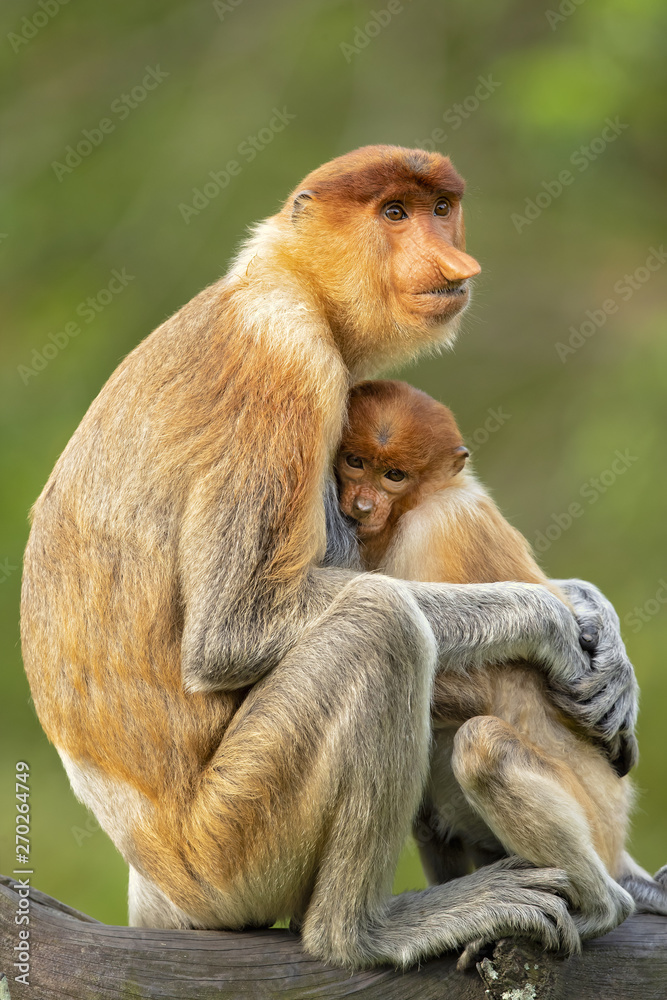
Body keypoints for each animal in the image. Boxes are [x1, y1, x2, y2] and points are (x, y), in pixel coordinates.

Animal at [337, 378, 667, 962]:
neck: (419, 503)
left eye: (394, 475)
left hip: (596, 816)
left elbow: (479, 690)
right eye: (355, 462)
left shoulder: (441, 528)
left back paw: (603, 908)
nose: (363, 504)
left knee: (483, 748)